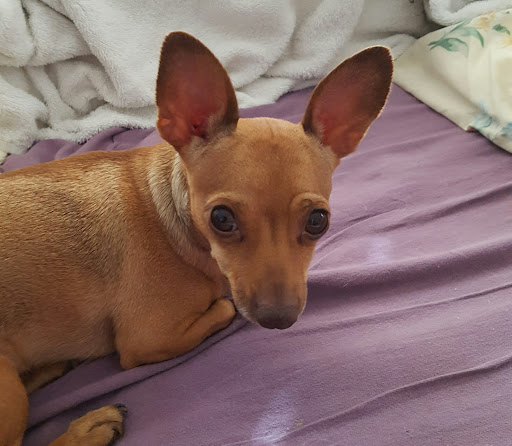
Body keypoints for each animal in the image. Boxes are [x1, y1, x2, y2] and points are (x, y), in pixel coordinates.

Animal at [0, 32, 392, 446]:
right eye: (221, 219)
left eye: (318, 222)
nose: (278, 319)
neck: (172, 220)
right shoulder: (147, 340)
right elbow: (224, 308)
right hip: (8, 390)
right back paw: (88, 428)